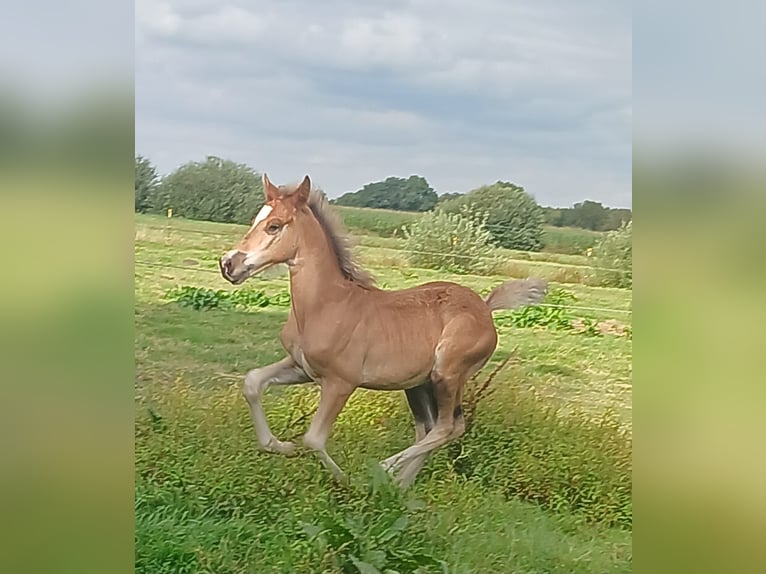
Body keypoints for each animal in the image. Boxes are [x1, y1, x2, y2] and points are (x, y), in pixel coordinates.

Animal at [219, 173, 548, 488]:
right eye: (255, 220)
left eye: (274, 226)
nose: (228, 264)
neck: (325, 304)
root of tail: (485, 308)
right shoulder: (302, 367)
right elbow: (252, 382)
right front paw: (280, 446)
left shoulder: (341, 382)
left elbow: (313, 439)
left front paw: (346, 482)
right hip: (418, 384)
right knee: (431, 428)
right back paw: (400, 486)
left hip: (448, 374)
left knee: (448, 427)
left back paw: (385, 471)